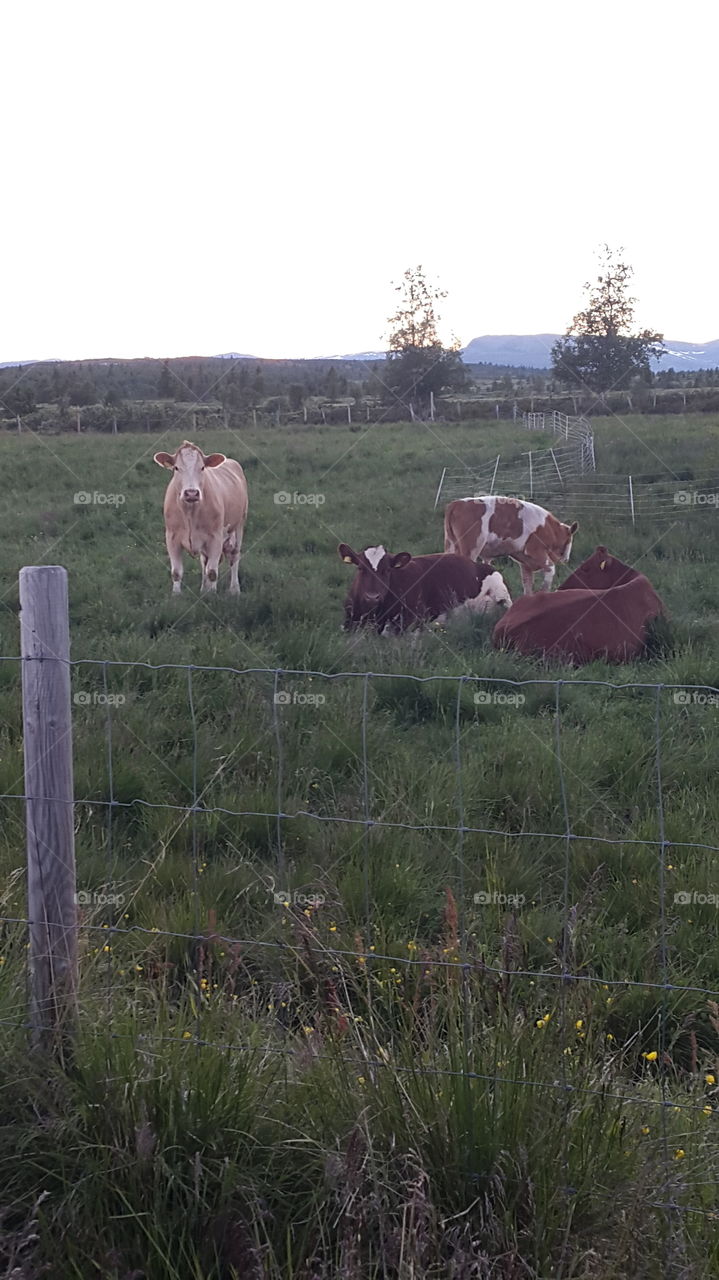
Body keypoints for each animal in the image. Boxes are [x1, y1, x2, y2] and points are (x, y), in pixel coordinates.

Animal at [152, 440, 248, 593]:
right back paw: (203, 588)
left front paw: (212, 595)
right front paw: (176, 595)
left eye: (202, 468)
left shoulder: (216, 537)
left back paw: (234, 589)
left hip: (238, 526)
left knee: (234, 557)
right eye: (176, 468)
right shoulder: (171, 538)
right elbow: (176, 572)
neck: (190, 512)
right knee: (205, 562)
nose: (191, 493)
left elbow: (212, 572)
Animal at [335, 542, 509, 637]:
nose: (372, 596)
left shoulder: (412, 622)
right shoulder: (348, 622)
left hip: (503, 595)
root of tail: (475, 564)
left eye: (387, 570)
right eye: (360, 568)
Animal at [442, 494, 575, 593]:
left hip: (450, 545)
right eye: (569, 540)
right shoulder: (536, 551)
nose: (566, 559)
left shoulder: (525, 561)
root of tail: (457, 503)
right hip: (470, 549)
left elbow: (527, 583)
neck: (550, 529)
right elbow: (550, 570)